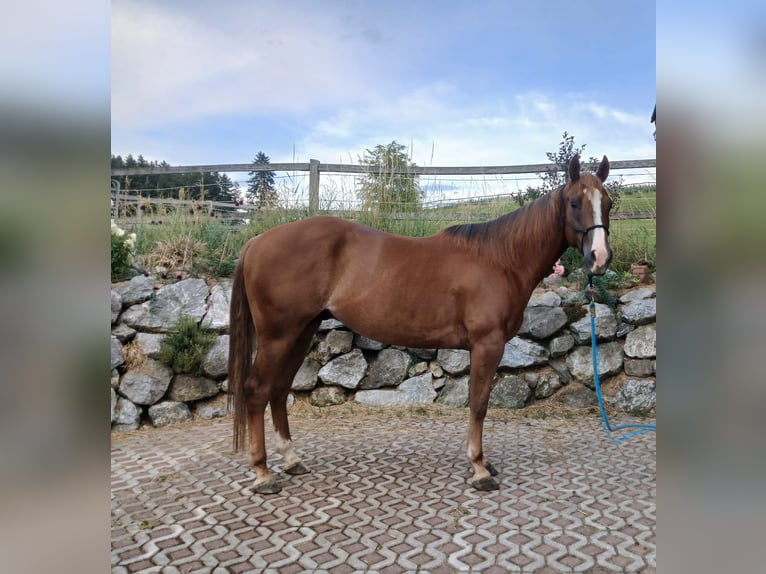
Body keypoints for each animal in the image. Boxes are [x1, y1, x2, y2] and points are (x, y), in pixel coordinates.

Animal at [228, 154, 613, 494]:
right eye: (575, 202)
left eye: (608, 203)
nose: (600, 259)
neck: (500, 260)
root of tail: (256, 241)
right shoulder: (487, 345)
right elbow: (479, 404)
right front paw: (479, 469)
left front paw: (483, 464)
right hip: (279, 336)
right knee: (258, 390)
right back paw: (263, 474)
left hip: (301, 331)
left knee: (279, 391)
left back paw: (292, 460)